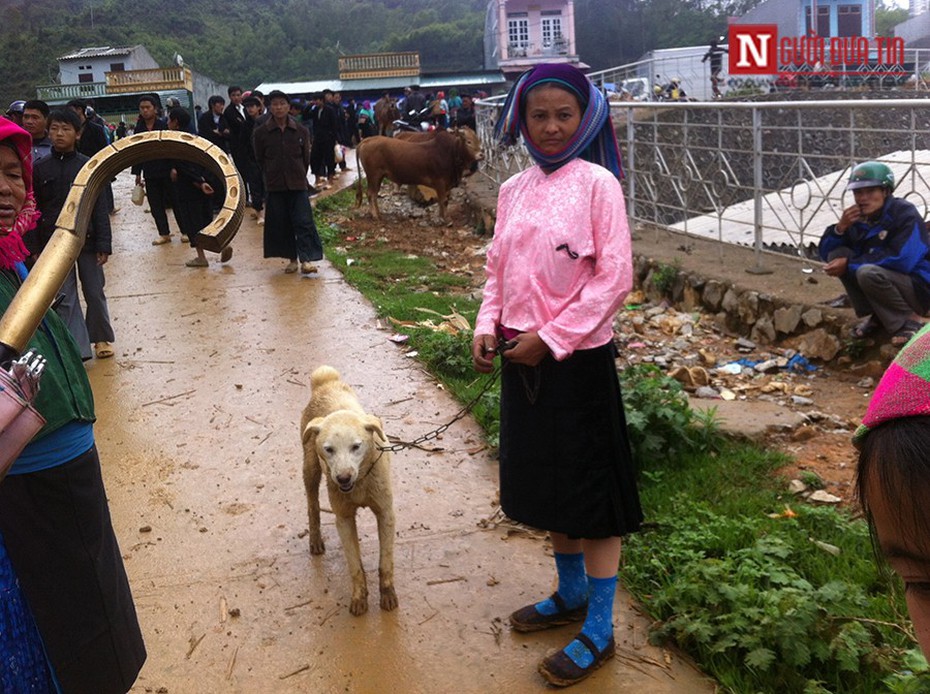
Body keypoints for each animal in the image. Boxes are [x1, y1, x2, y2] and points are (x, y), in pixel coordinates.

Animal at [300, 368, 396, 616]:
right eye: (329, 449)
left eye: (356, 446)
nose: (343, 478)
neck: (360, 482)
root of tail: (326, 381)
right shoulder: (343, 518)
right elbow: (355, 565)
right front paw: (359, 598)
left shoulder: (386, 513)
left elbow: (386, 562)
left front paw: (388, 595)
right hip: (310, 468)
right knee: (312, 506)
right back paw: (315, 540)